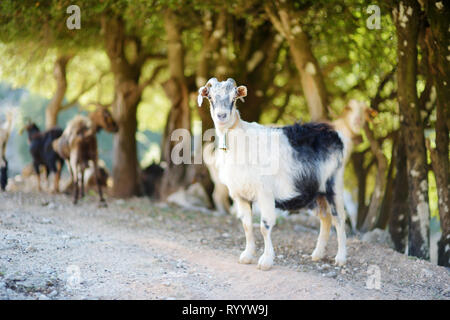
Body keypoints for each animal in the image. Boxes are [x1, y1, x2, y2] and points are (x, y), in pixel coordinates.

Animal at [198, 77, 348, 270]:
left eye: (234, 98)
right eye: (210, 97)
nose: (222, 116)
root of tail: (333, 134)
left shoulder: (265, 193)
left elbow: (265, 226)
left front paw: (266, 260)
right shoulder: (240, 195)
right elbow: (247, 225)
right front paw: (247, 255)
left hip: (333, 185)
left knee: (339, 219)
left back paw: (341, 258)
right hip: (316, 193)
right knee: (325, 218)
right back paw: (317, 254)